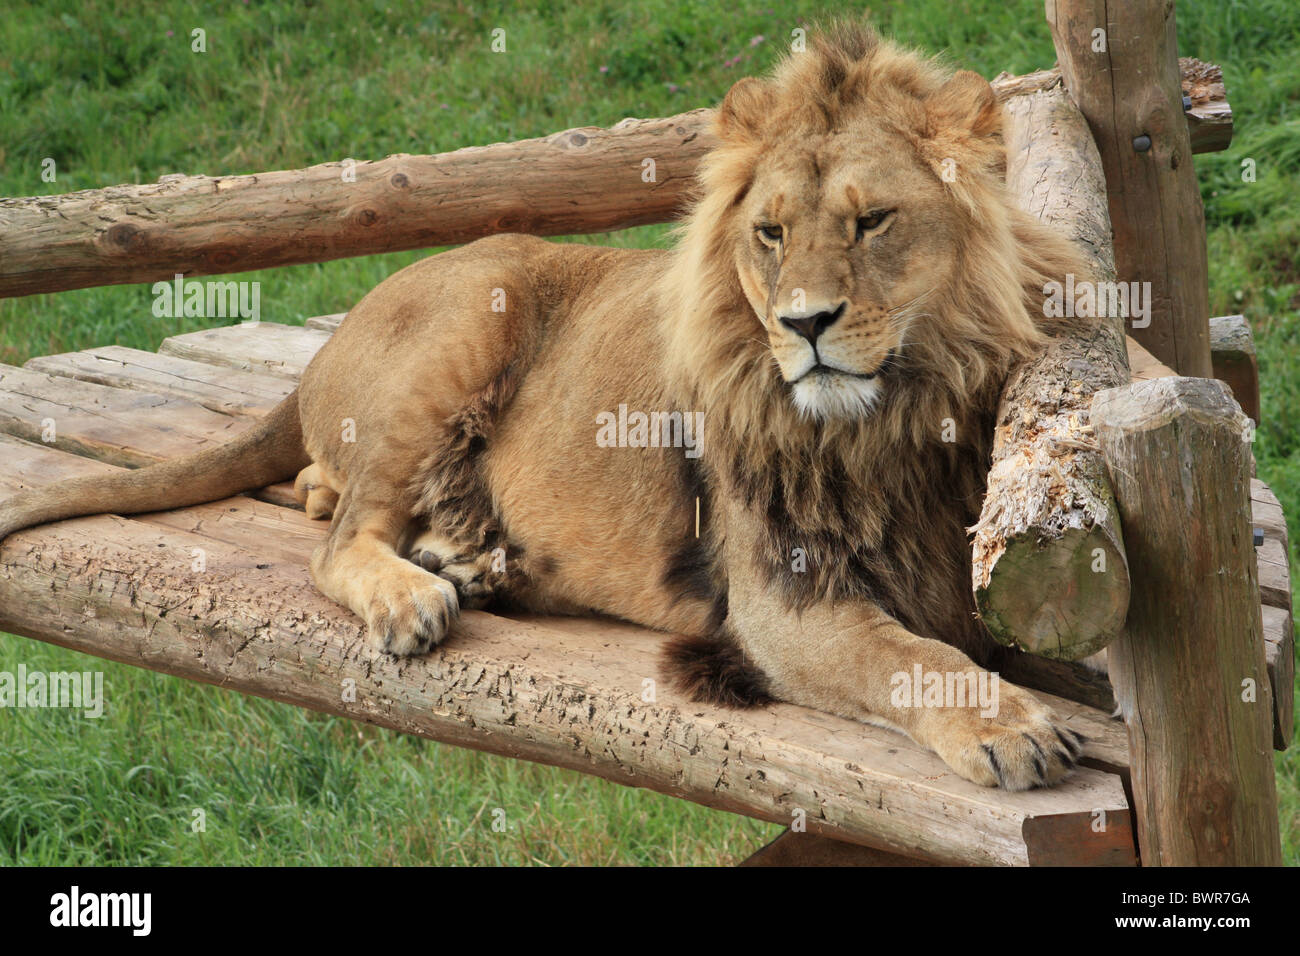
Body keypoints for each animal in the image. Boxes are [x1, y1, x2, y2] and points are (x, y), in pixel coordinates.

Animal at [0, 27, 1097, 790]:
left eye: (873, 221)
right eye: (771, 233)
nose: (805, 324)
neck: (891, 416)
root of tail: (321, 350)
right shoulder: (781, 602)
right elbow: (909, 654)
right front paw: (1012, 725)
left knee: (329, 492)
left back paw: (459, 555)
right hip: (473, 310)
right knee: (342, 534)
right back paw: (417, 590)